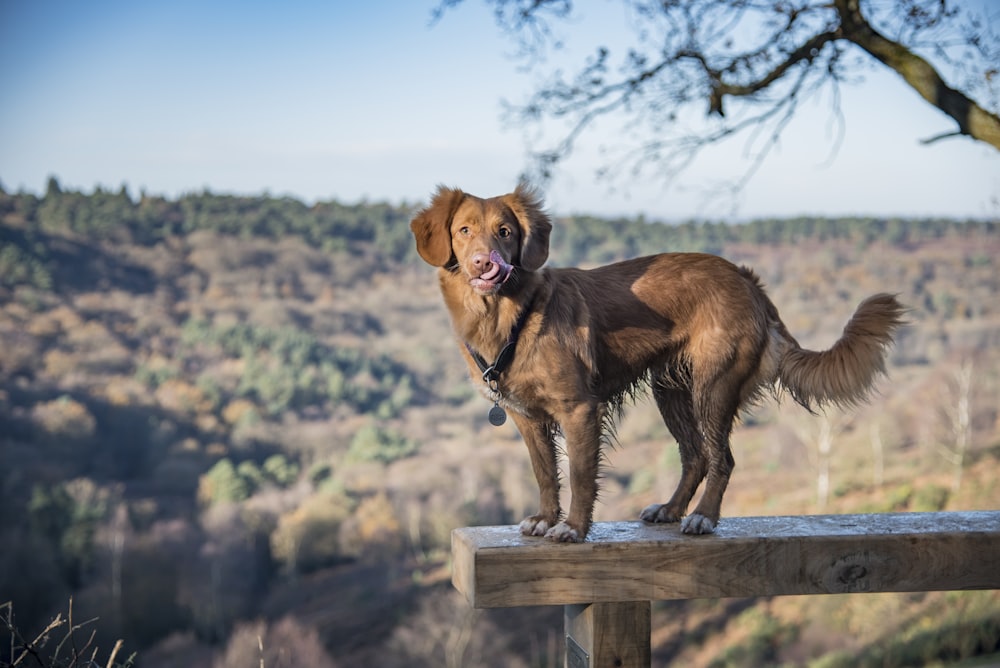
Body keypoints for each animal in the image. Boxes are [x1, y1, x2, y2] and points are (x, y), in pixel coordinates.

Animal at [410, 184, 912, 544]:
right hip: (669, 390)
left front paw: (572, 528)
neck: (512, 315)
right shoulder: (526, 417)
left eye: (506, 232)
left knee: (721, 458)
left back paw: (703, 518)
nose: (485, 264)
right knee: (695, 456)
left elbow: (580, 475)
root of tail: (748, 282)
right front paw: (545, 518)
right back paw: (672, 510)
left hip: (714, 386)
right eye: (464, 231)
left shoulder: (579, 409)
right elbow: (545, 473)